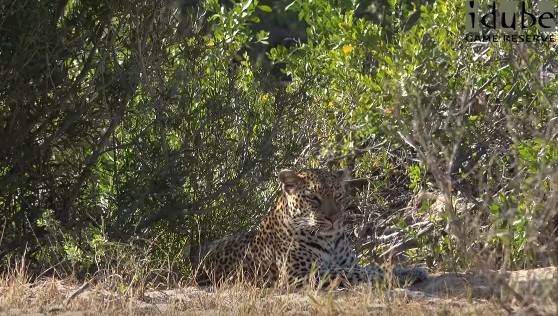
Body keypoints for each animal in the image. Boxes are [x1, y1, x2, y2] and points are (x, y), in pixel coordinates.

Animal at [195, 169, 430, 288]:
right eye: (313, 198)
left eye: (338, 195)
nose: (333, 218)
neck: (331, 240)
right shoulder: (300, 274)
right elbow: (353, 273)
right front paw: (389, 277)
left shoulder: (346, 262)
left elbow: (369, 266)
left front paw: (410, 270)